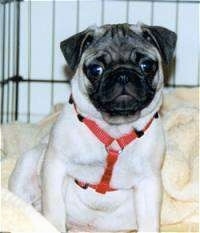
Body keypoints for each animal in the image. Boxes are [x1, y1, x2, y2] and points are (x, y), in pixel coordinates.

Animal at [9, 22, 177, 233]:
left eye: (146, 66)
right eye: (96, 69)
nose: (123, 75)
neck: (115, 128)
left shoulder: (149, 182)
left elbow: (149, 221)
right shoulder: (55, 167)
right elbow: (54, 208)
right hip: (28, 163)